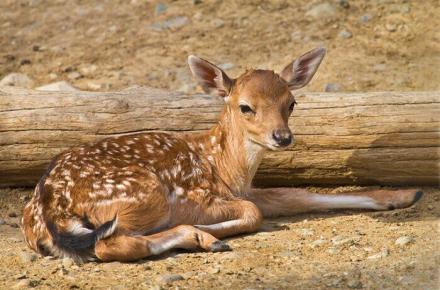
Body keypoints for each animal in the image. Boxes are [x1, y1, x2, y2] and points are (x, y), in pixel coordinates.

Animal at [21, 46, 422, 262]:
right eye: (245, 107)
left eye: (291, 103)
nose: (282, 137)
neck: (224, 167)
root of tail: (49, 210)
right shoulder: (197, 195)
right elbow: (255, 213)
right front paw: (209, 231)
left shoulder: (245, 190)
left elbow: (298, 194)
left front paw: (404, 195)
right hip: (145, 193)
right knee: (108, 245)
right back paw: (203, 238)